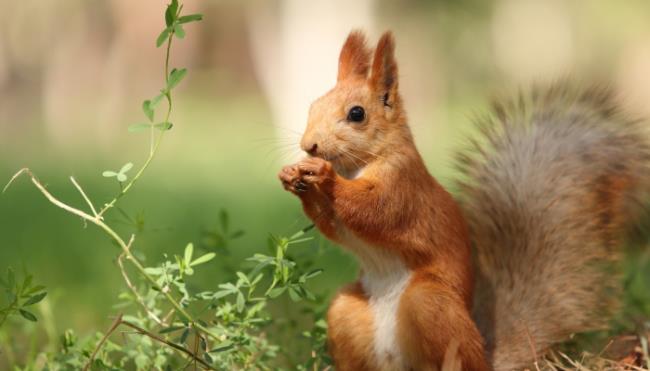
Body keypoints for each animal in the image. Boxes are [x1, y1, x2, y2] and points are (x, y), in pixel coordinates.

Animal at [278, 30, 648, 370]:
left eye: (357, 114)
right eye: (313, 106)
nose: (309, 145)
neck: (358, 167)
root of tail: (485, 356)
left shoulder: (403, 187)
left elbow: (373, 210)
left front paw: (323, 176)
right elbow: (334, 226)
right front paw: (292, 175)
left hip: (431, 305)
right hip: (347, 312)